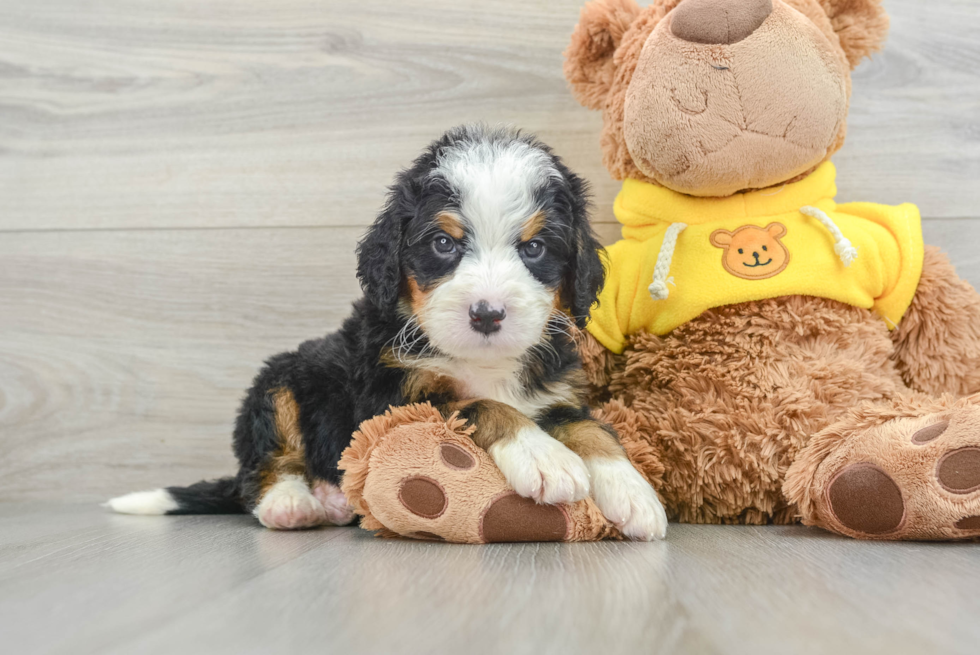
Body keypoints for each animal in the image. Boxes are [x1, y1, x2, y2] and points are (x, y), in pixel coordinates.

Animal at [111, 125, 668, 540]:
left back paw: (334, 499)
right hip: (281, 378)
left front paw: (633, 492)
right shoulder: (393, 397)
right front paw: (544, 457)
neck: (482, 359)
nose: (487, 314)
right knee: (267, 459)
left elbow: (593, 429)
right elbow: (482, 404)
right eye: (444, 243)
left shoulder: (556, 392)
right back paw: (293, 502)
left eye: (534, 249)